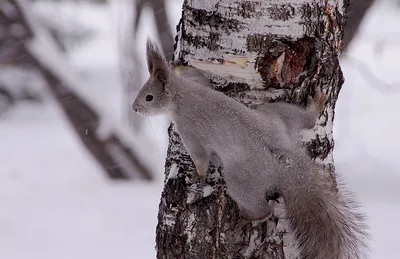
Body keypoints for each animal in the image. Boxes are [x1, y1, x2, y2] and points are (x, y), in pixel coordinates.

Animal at [133, 39, 370, 258]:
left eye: (148, 97)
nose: (134, 108)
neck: (182, 95)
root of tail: (285, 159)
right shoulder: (198, 84)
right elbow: (201, 77)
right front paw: (178, 66)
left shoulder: (189, 129)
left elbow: (200, 156)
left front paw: (197, 174)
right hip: (277, 114)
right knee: (306, 120)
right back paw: (315, 106)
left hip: (241, 180)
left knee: (263, 209)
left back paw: (247, 218)